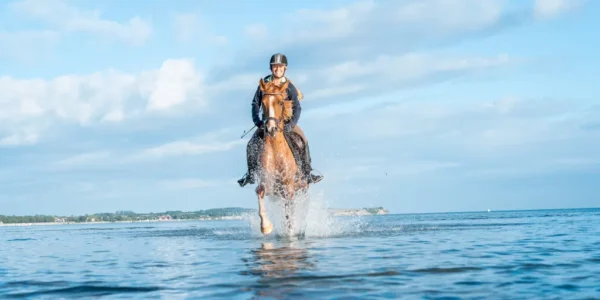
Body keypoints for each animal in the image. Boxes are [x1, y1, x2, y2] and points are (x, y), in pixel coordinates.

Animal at [253, 77, 310, 234]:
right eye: (263, 102)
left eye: (280, 102)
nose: (271, 129)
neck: (275, 150)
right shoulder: (266, 182)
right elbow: (259, 192)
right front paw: (265, 226)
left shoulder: (288, 186)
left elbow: (290, 213)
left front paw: (290, 233)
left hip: (302, 186)